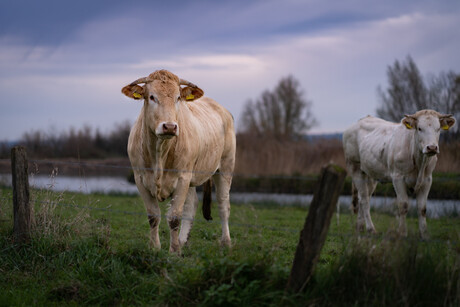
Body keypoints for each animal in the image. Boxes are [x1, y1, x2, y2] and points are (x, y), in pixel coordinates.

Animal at [344, 109, 454, 239]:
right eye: (419, 128)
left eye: (438, 129)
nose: (432, 147)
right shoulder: (398, 178)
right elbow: (403, 205)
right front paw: (402, 232)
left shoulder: (427, 180)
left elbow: (422, 208)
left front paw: (424, 234)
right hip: (355, 168)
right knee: (365, 200)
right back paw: (371, 229)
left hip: (370, 174)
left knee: (363, 198)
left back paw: (360, 227)